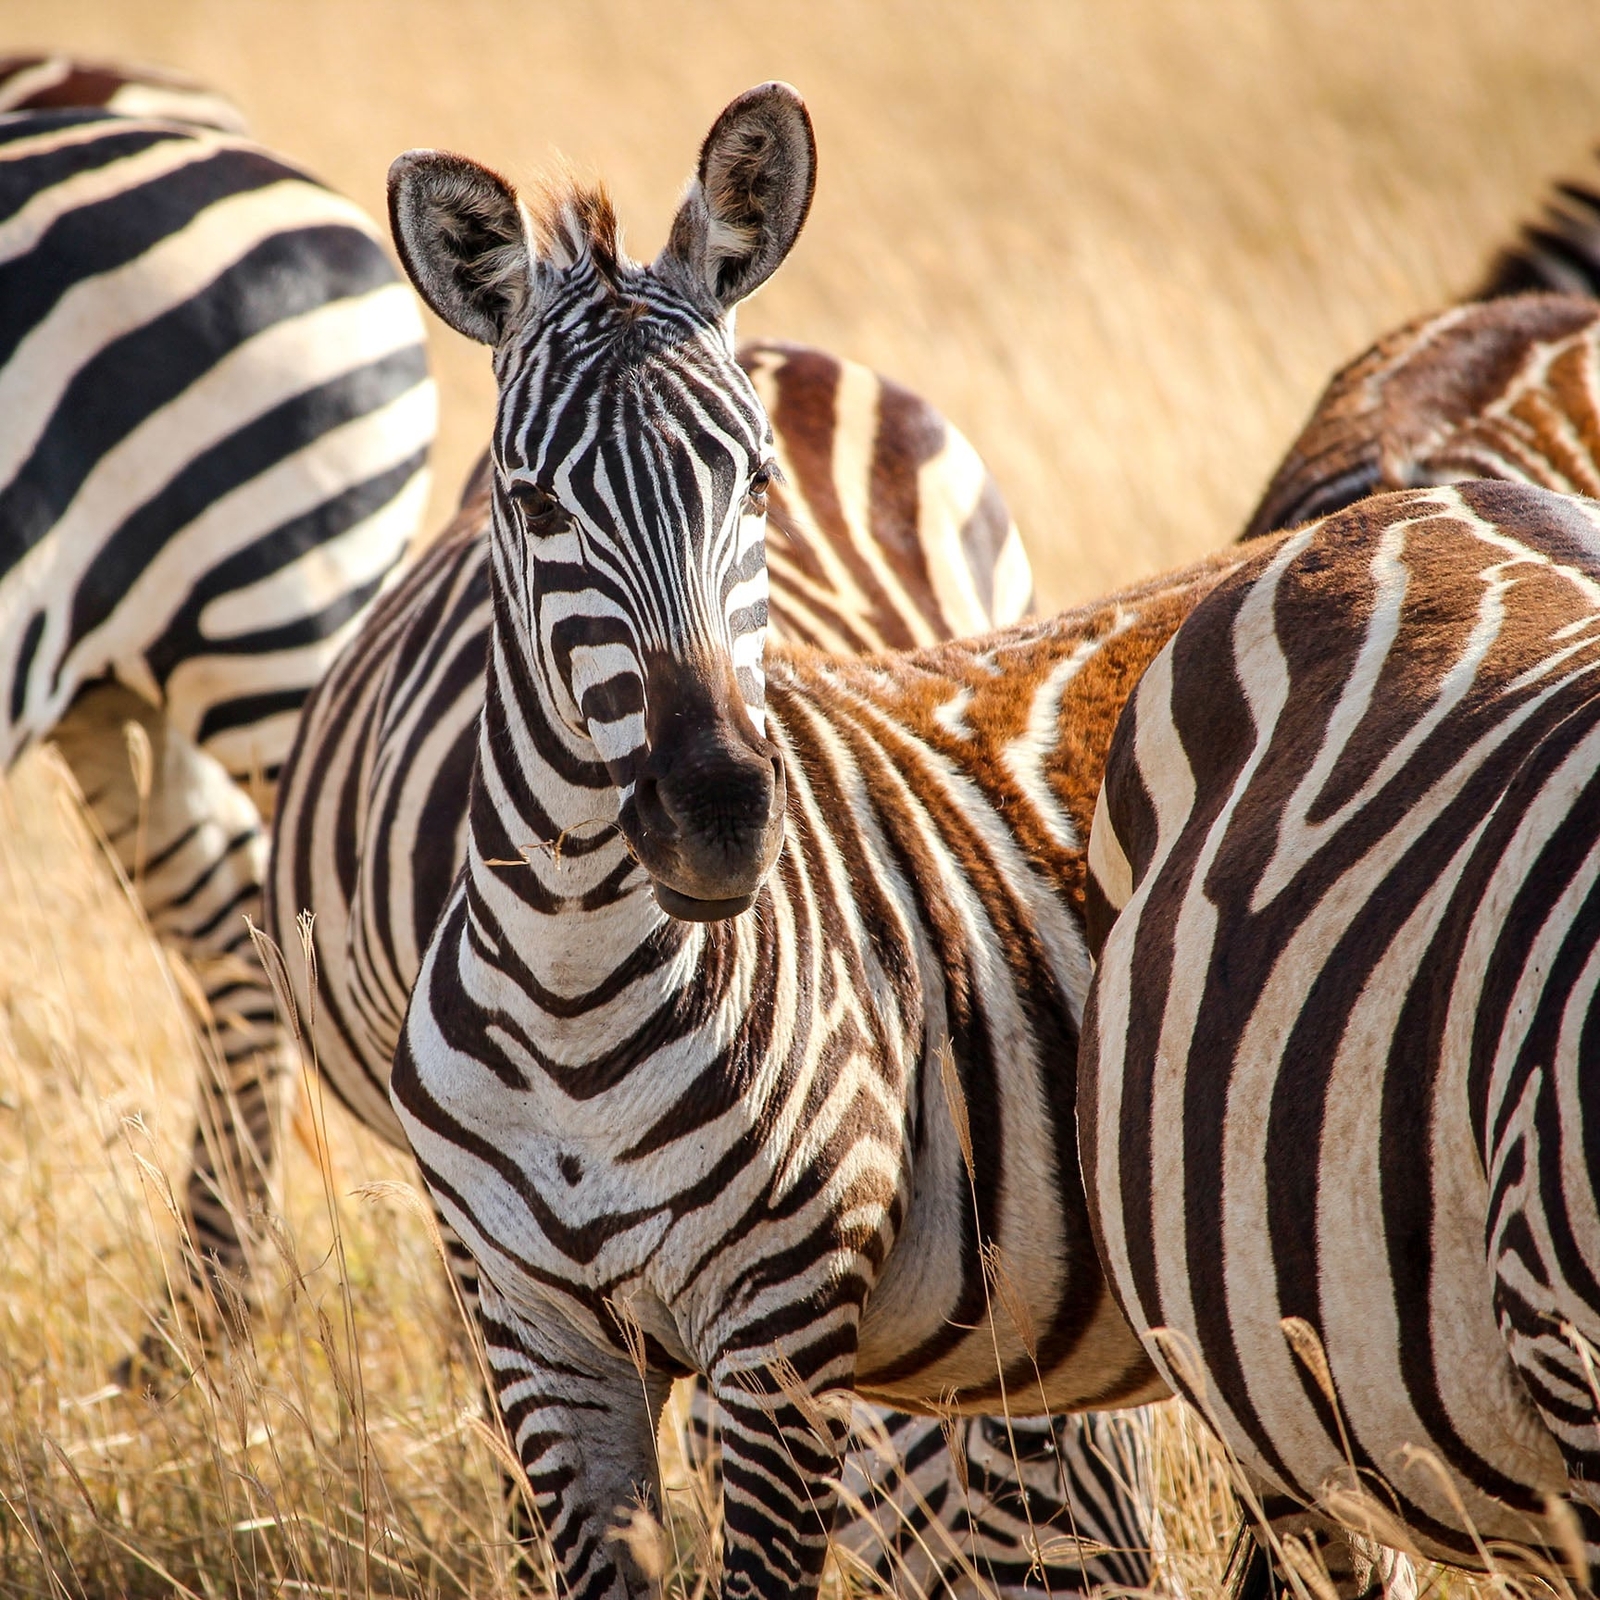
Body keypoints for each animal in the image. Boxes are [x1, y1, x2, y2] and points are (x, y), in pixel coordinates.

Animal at [263, 83, 1187, 1600]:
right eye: (536, 505)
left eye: (752, 486)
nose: (714, 818)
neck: (574, 987)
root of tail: (799, 348)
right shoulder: (533, 1328)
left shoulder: (777, 1327)